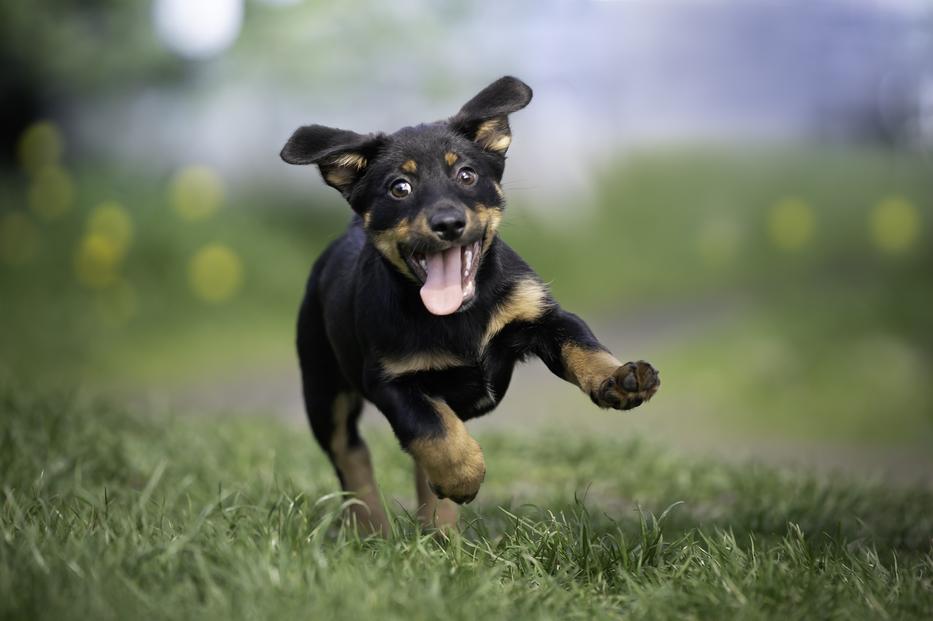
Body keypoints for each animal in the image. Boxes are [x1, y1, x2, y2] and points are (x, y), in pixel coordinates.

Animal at [280, 76, 660, 532]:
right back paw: (373, 526)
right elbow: (432, 430)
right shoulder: (390, 379)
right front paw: (464, 475)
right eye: (399, 187)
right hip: (323, 386)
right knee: (350, 455)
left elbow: (583, 347)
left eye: (466, 174)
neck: (459, 315)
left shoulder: (545, 318)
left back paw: (439, 532)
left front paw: (619, 378)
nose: (448, 223)